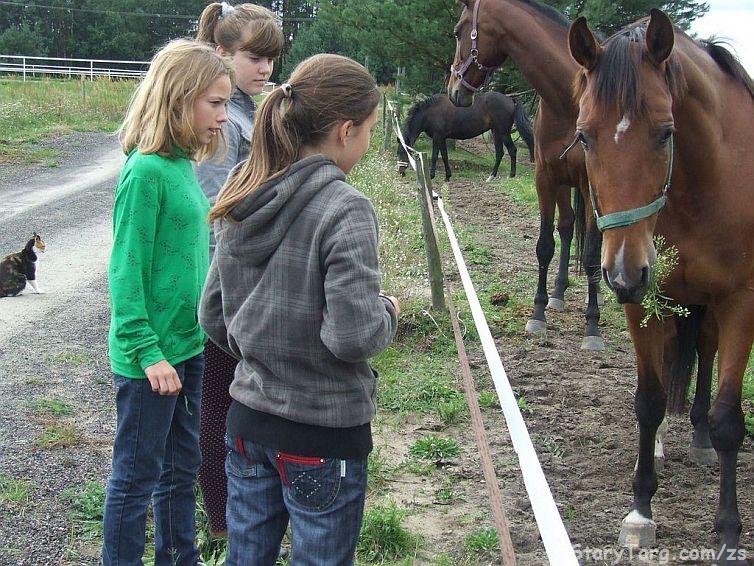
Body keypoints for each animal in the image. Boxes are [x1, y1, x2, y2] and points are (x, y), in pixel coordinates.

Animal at [394, 91, 536, 182]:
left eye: (403, 152)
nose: (400, 172)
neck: (430, 112)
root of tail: (510, 99)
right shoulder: (442, 138)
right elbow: (444, 156)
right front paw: (447, 176)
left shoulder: (437, 137)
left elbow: (434, 156)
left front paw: (432, 175)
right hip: (496, 132)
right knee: (499, 153)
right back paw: (491, 177)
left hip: (503, 132)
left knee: (512, 150)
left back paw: (511, 175)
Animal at [444, 0, 604, 350]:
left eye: (458, 32)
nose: (453, 90)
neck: (568, 101)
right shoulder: (546, 177)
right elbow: (545, 244)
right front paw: (538, 313)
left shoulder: (592, 185)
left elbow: (591, 254)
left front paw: (593, 326)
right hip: (563, 184)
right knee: (567, 226)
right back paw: (558, 292)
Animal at [568, 8, 752, 564]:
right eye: (585, 136)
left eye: (666, 132)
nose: (624, 272)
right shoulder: (644, 301)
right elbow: (648, 401)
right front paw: (640, 511)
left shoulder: (739, 302)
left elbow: (728, 418)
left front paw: (728, 532)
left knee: (706, 358)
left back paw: (699, 437)